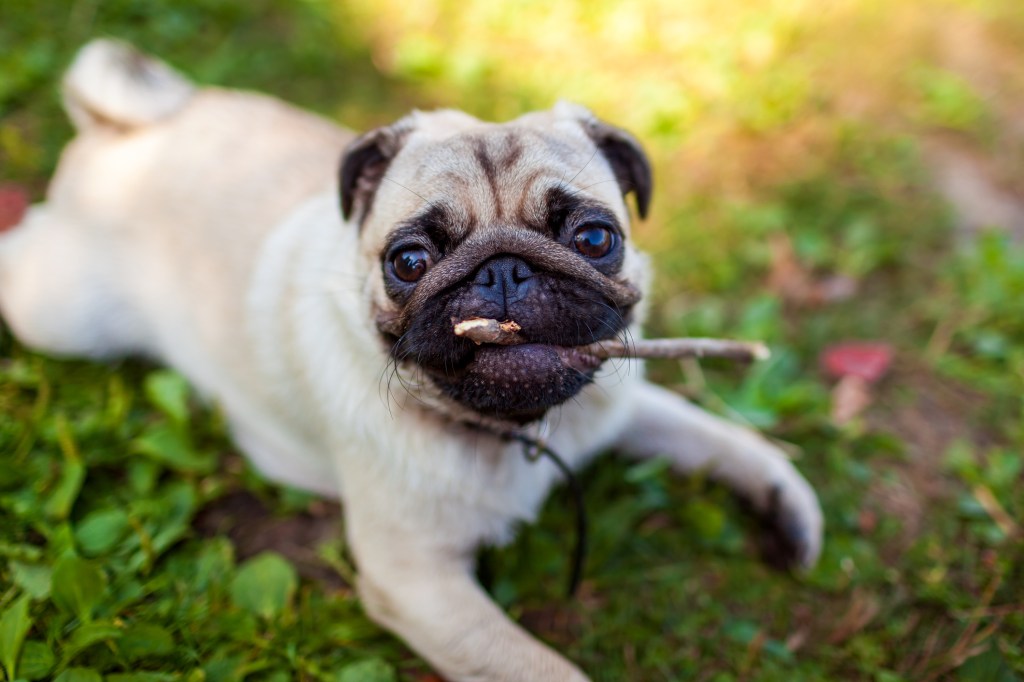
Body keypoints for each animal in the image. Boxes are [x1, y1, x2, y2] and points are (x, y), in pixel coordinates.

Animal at [0, 41, 819, 679]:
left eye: (594, 238)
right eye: (410, 260)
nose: (504, 270)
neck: (511, 431)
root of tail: (131, 127)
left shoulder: (612, 401)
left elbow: (711, 434)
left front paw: (786, 502)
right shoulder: (419, 583)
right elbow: (541, 668)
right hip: (57, 314)